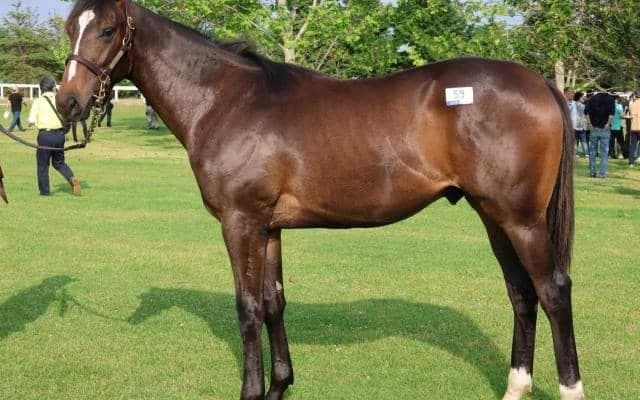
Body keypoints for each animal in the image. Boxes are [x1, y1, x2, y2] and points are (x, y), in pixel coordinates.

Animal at [56, 1, 583, 399]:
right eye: (69, 29)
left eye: (107, 30)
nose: (67, 103)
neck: (225, 100)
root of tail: (540, 83)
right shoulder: (268, 227)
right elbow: (273, 303)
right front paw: (279, 386)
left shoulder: (240, 222)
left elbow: (248, 308)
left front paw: (252, 391)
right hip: (494, 216)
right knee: (521, 293)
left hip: (522, 220)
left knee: (553, 291)